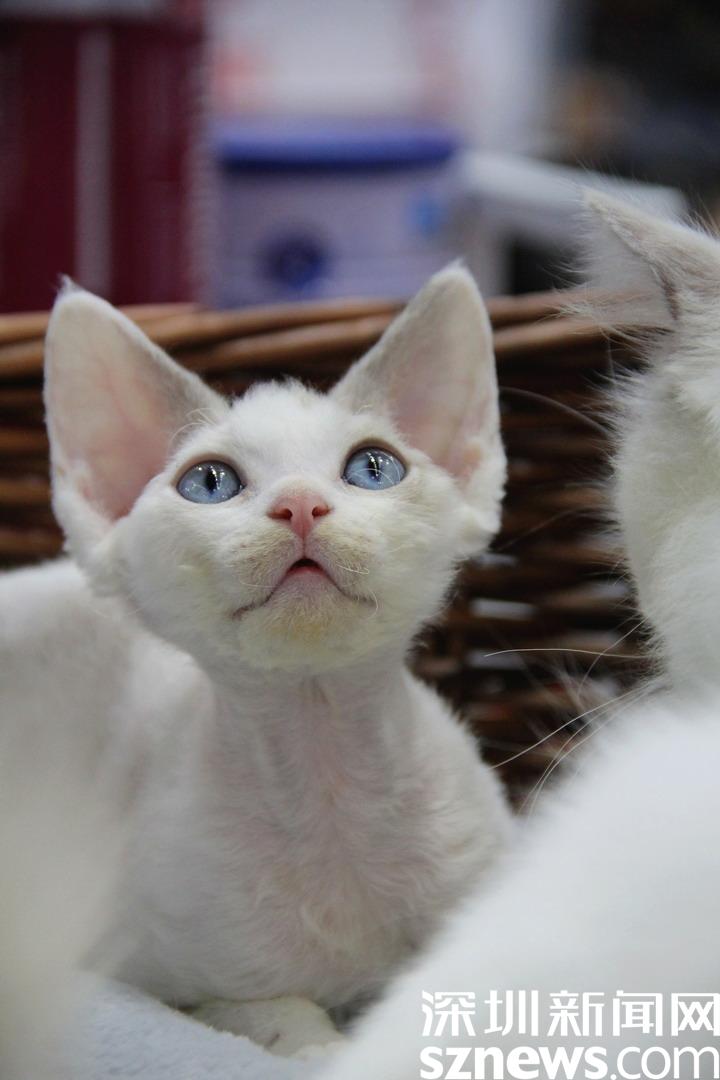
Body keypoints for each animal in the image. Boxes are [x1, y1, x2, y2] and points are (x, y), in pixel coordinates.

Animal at [0, 264, 512, 1073]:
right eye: (209, 483)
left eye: (374, 468)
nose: (300, 504)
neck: (325, 770)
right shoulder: (164, 972)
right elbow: (274, 1017)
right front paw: (323, 1046)